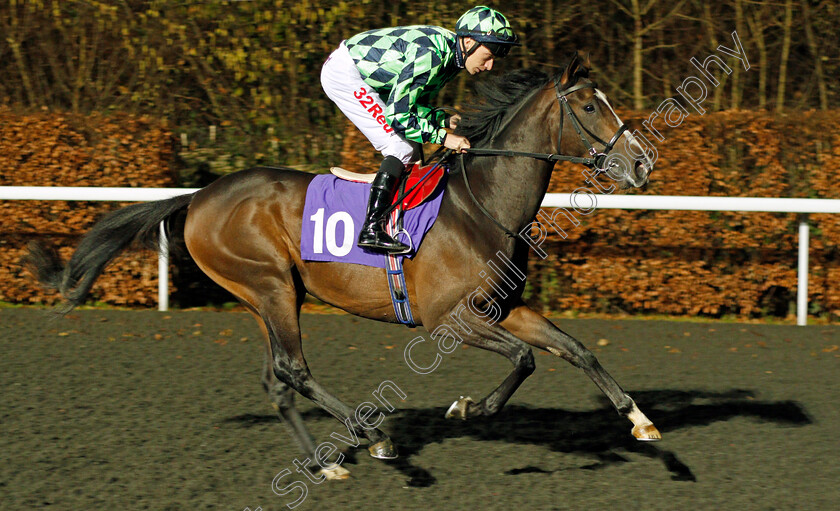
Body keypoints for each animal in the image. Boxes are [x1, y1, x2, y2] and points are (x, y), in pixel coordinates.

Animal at [24, 54, 656, 482]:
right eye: (591, 105)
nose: (642, 163)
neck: (484, 206)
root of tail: (199, 195)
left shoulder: (505, 308)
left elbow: (575, 350)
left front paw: (640, 420)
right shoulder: (447, 320)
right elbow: (525, 358)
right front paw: (467, 407)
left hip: (271, 296)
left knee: (276, 380)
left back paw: (324, 463)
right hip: (270, 286)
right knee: (293, 370)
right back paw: (373, 435)